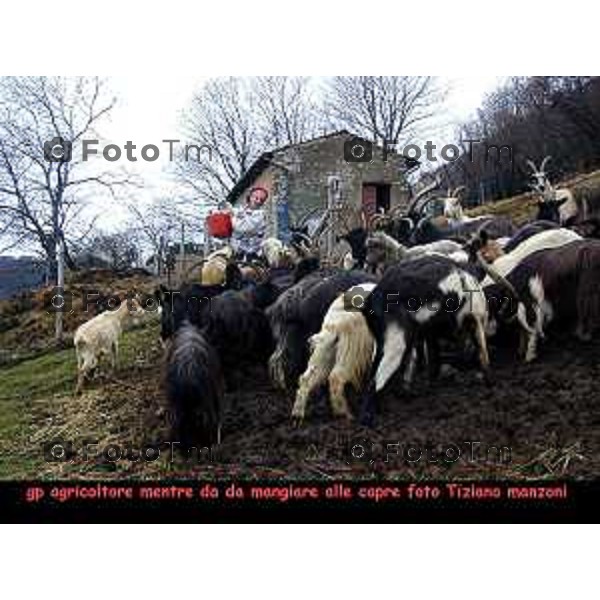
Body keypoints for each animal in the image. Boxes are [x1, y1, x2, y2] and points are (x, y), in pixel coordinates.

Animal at [290, 284, 376, 424]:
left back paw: (297, 414)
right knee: (336, 377)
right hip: (353, 349)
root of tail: (335, 320)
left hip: (326, 349)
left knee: (306, 378)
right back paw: (344, 414)